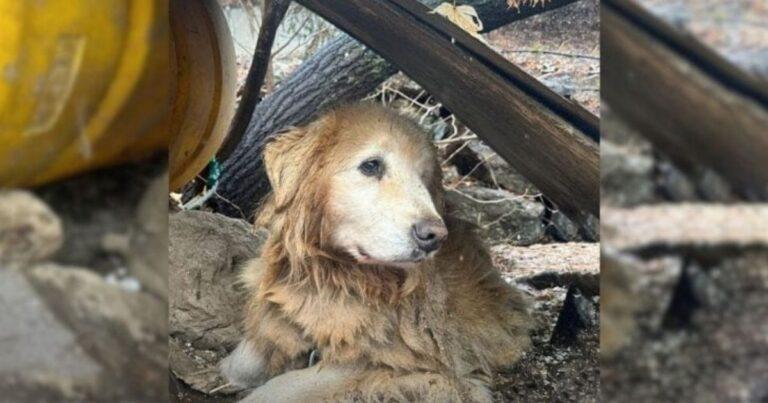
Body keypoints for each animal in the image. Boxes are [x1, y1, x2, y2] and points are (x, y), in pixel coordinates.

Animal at [219, 102, 532, 402]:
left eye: (423, 178)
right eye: (371, 165)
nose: (434, 236)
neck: (334, 276)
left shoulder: (405, 365)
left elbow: (282, 387)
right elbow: (240, 361)